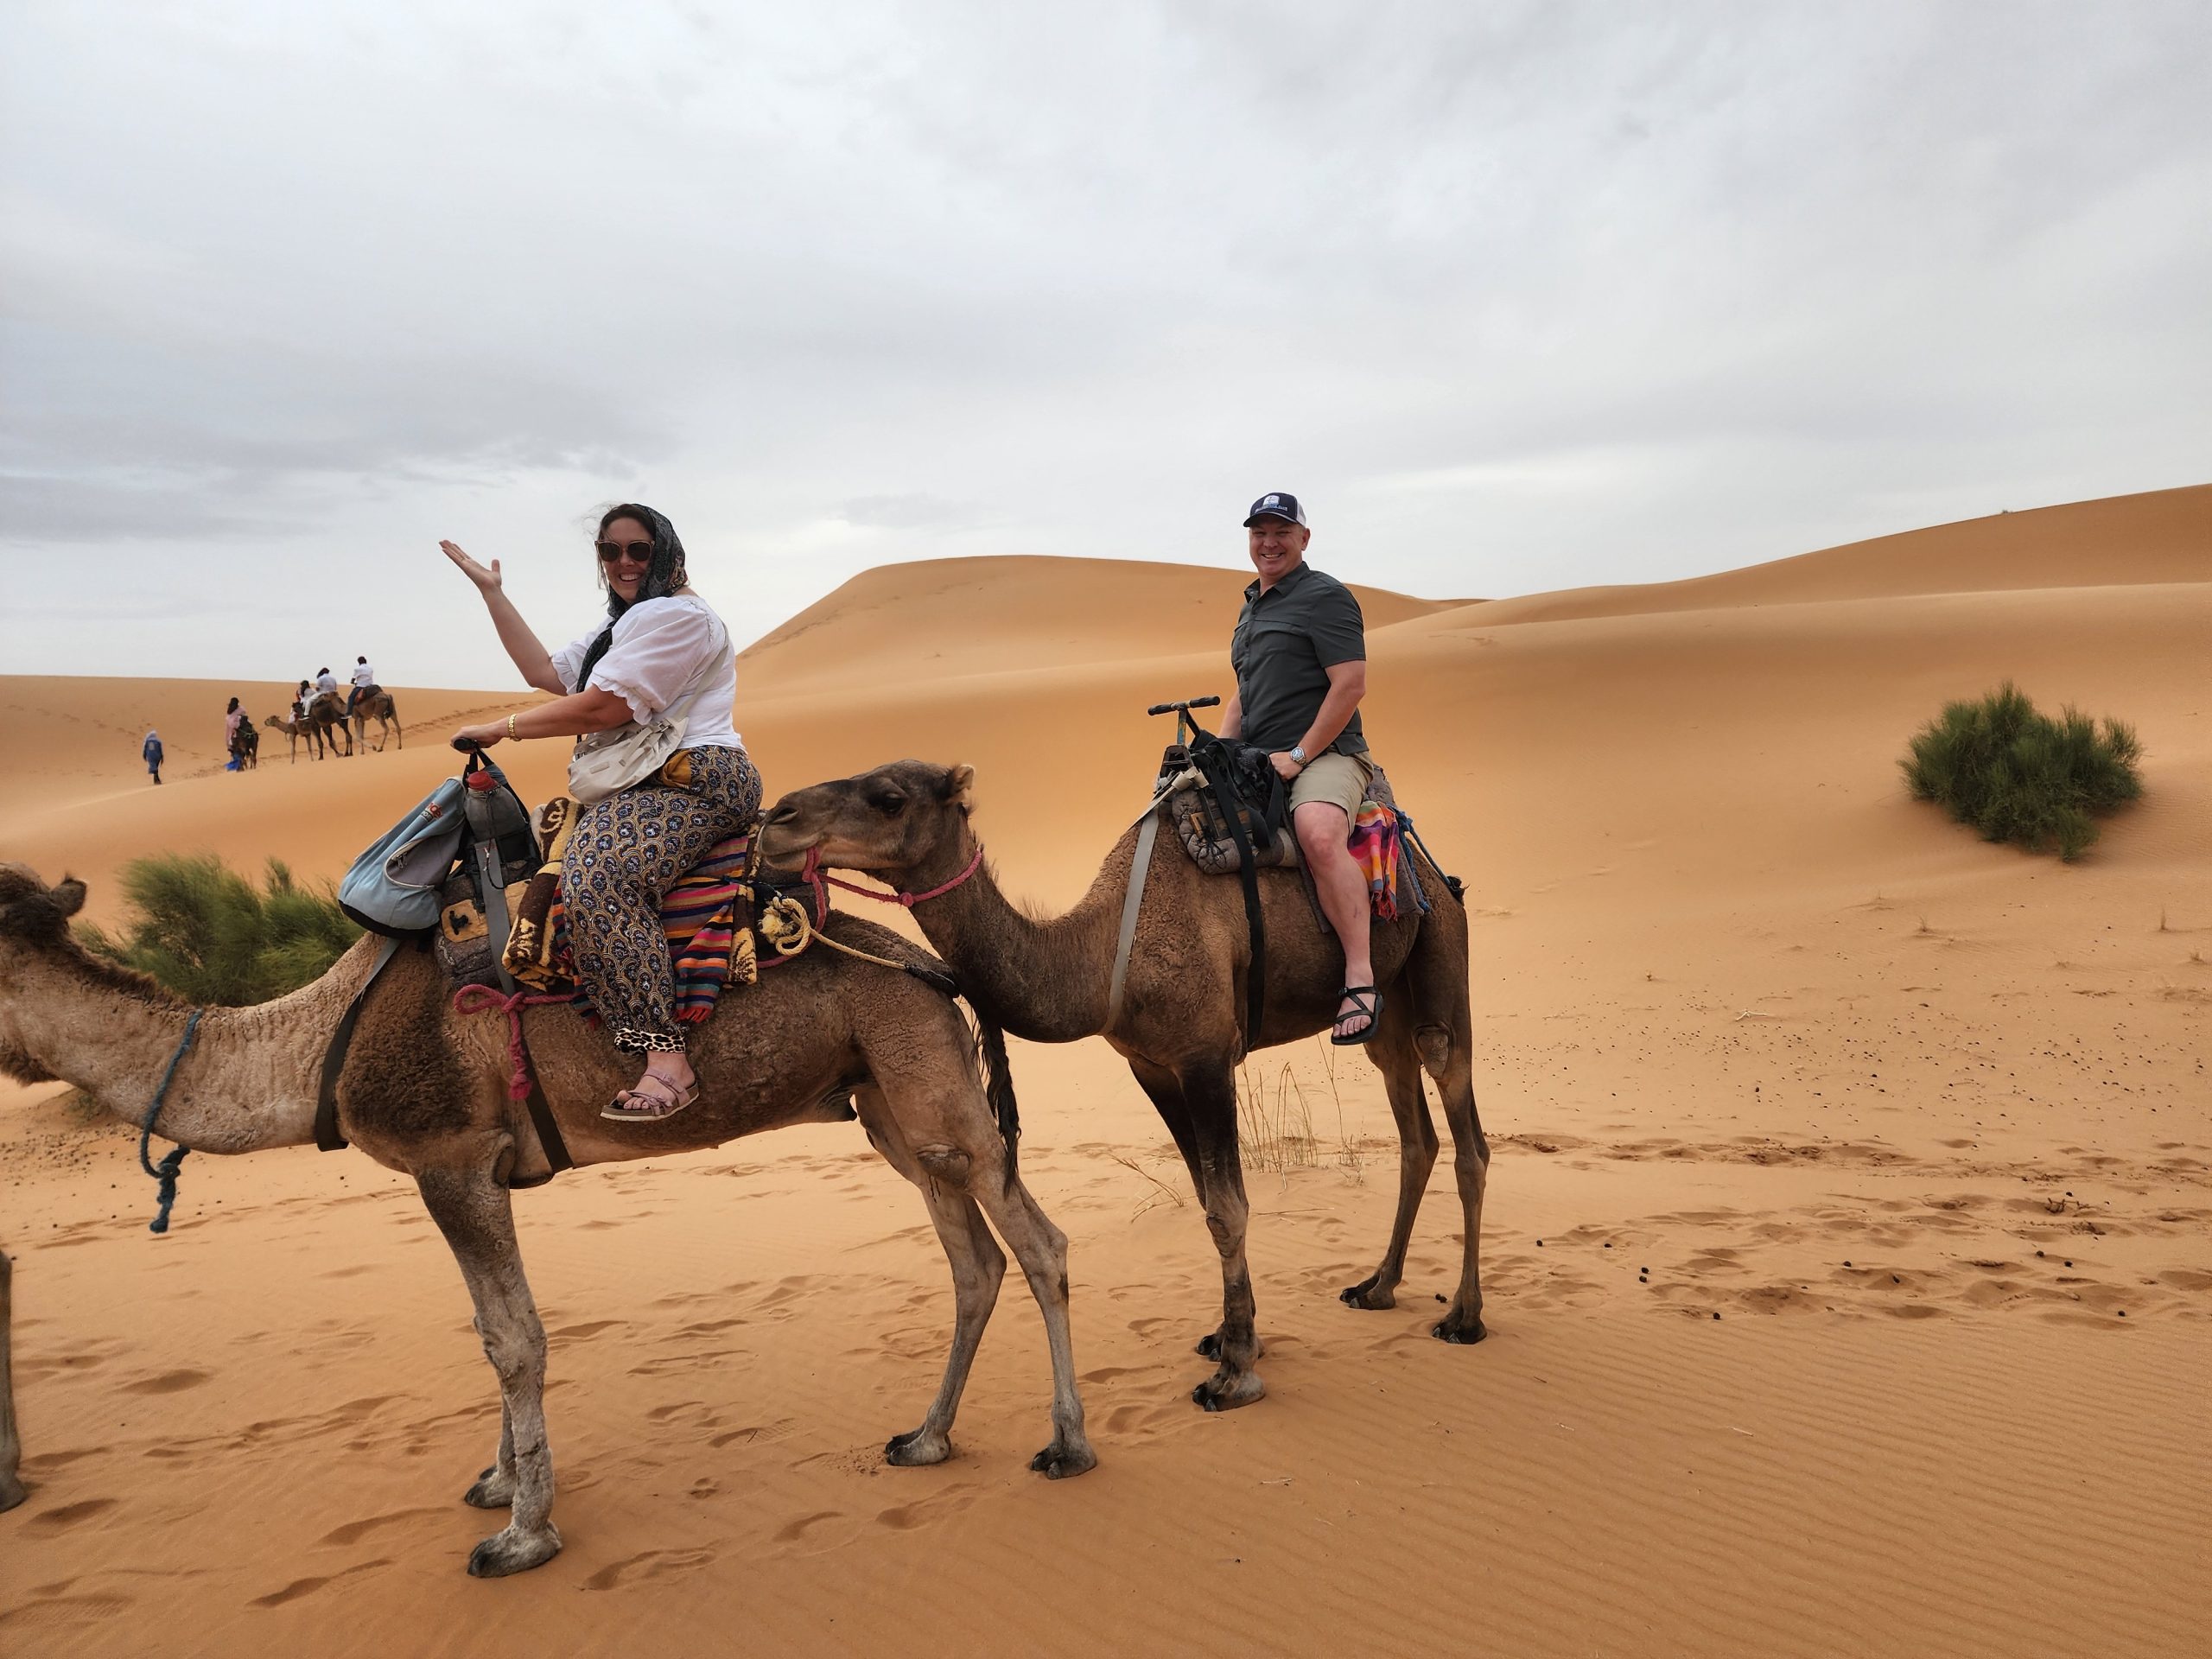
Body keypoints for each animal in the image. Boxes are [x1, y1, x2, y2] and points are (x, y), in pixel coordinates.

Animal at [0, 861, 1092, 1574]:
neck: (316, 1047)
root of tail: (933, 968)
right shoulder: (477, 1171)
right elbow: (495, 1330)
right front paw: (498, 1480)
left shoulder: (450, 1162)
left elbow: (511, 1338)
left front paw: (523, 1532)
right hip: (888, 1102)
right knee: (971, 1260)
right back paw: (925, 1437)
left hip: (929, 1083)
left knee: (1037, 1243)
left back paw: (1068, 1447)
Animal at [760, 761, 1487, 1413]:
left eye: (889, 798)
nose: (778, 819)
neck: (1103, 950)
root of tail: (1431, 869)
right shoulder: (1152, 1067)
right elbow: (1207, 1199)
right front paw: (1233, 1335)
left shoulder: (1204, 1057)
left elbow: (1229, 1208)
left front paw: (1235, 1374)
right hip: (1384, 1010)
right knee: (1414, 1130)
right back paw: (1378, 1286)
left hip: (1440, 951)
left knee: (1462, 1121)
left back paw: (1464, 1317)